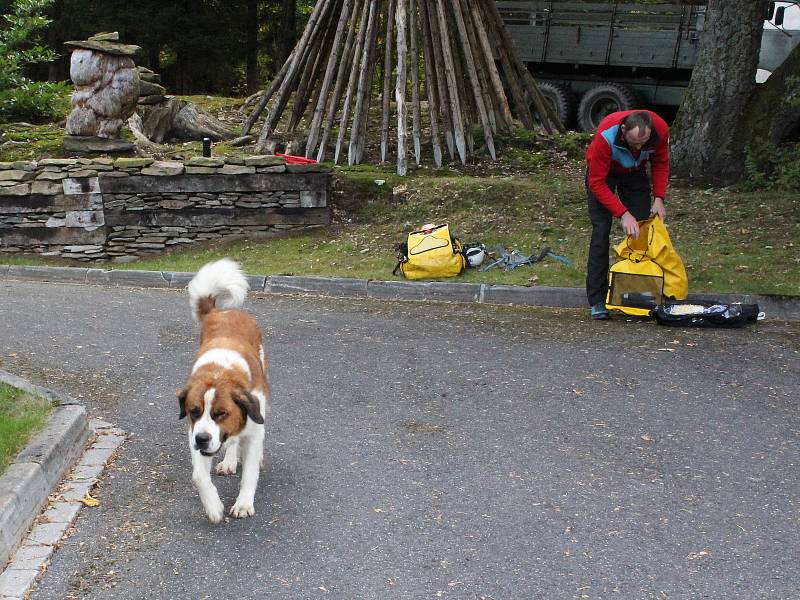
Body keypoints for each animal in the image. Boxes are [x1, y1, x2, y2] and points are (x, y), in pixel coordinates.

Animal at [178, 260, 268, 524]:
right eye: (194, 412)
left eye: (221, 414)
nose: (202, 439)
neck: (220, 374)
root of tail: (223, 311)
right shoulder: (194, 431)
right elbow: (199, 476)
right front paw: (214, 507)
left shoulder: (254, 429)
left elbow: (249, 473)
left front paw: (244, 504)